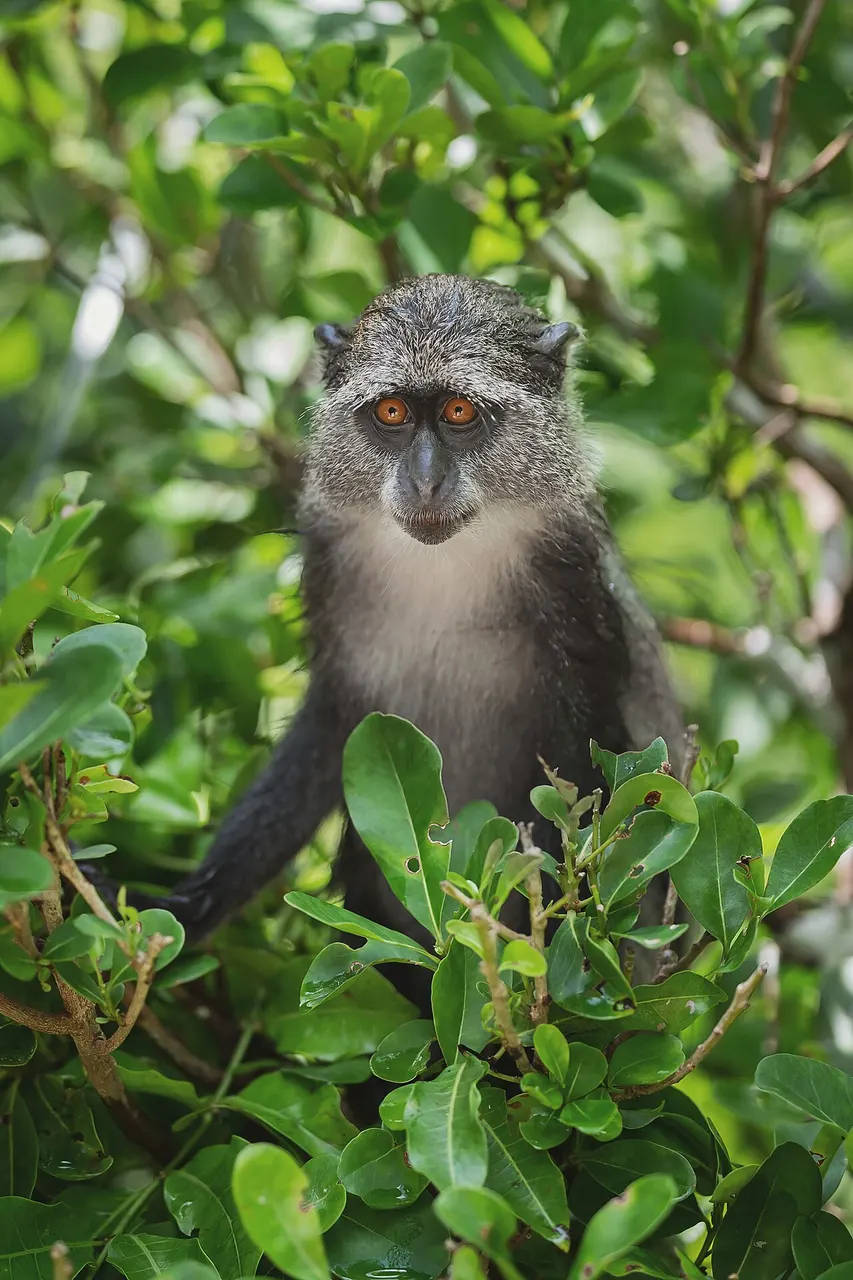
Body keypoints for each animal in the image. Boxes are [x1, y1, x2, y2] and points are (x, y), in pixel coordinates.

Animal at [121, 274, 683, 953]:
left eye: (459, 412)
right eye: (392, 412)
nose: (426, 480)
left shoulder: (572, 576)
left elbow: (589, 772)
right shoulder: (331, 564)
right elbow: (328, 733)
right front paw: (184, 906)